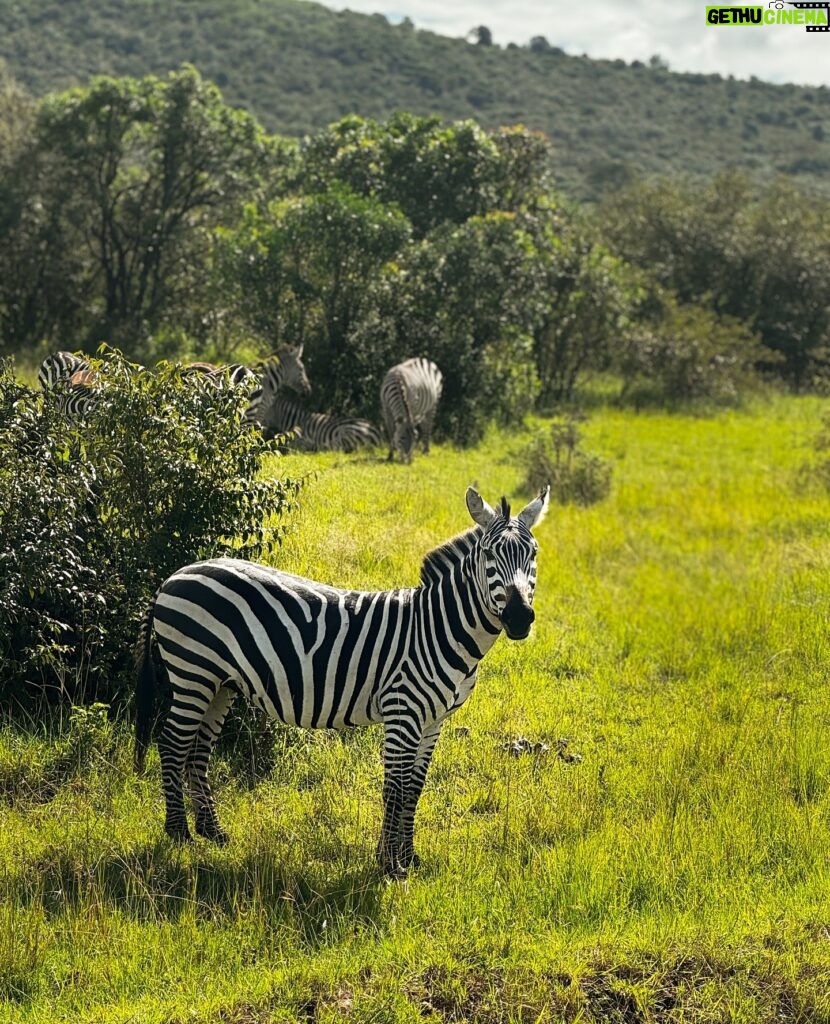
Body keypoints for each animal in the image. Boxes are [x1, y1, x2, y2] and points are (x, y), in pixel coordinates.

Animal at [135, 483, 552, 876]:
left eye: (533, 554)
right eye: (489, 555)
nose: (519, 618)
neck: (438, 627)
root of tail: (175, 574)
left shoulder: (434, 720)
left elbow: (415, 788)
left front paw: (409, 857)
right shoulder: (403, 711)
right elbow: (396, 788)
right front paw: (390, 865)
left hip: (220, 683)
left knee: (198, 749)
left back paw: (212, 831)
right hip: (193, 671)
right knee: (172, 743)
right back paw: (179, 833)